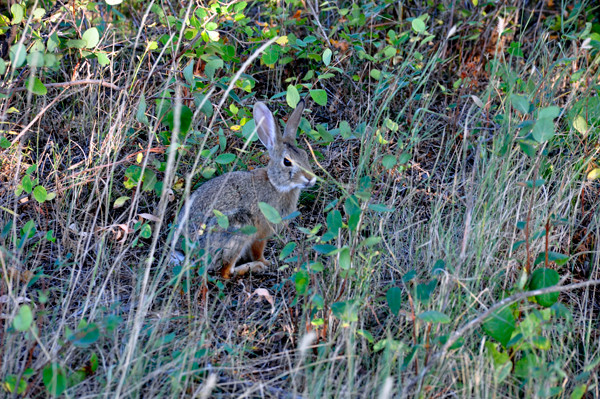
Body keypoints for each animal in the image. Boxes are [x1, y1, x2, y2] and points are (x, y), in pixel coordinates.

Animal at [171, 100, 316, 280]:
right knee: (224, 272)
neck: (275, 184)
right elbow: (257, 250)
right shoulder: (261, 231)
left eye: (305, 155)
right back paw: (255, 267)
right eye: (287, 162)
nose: (310, 178)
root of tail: (184, 251)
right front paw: (265, 262)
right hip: (237, 228)